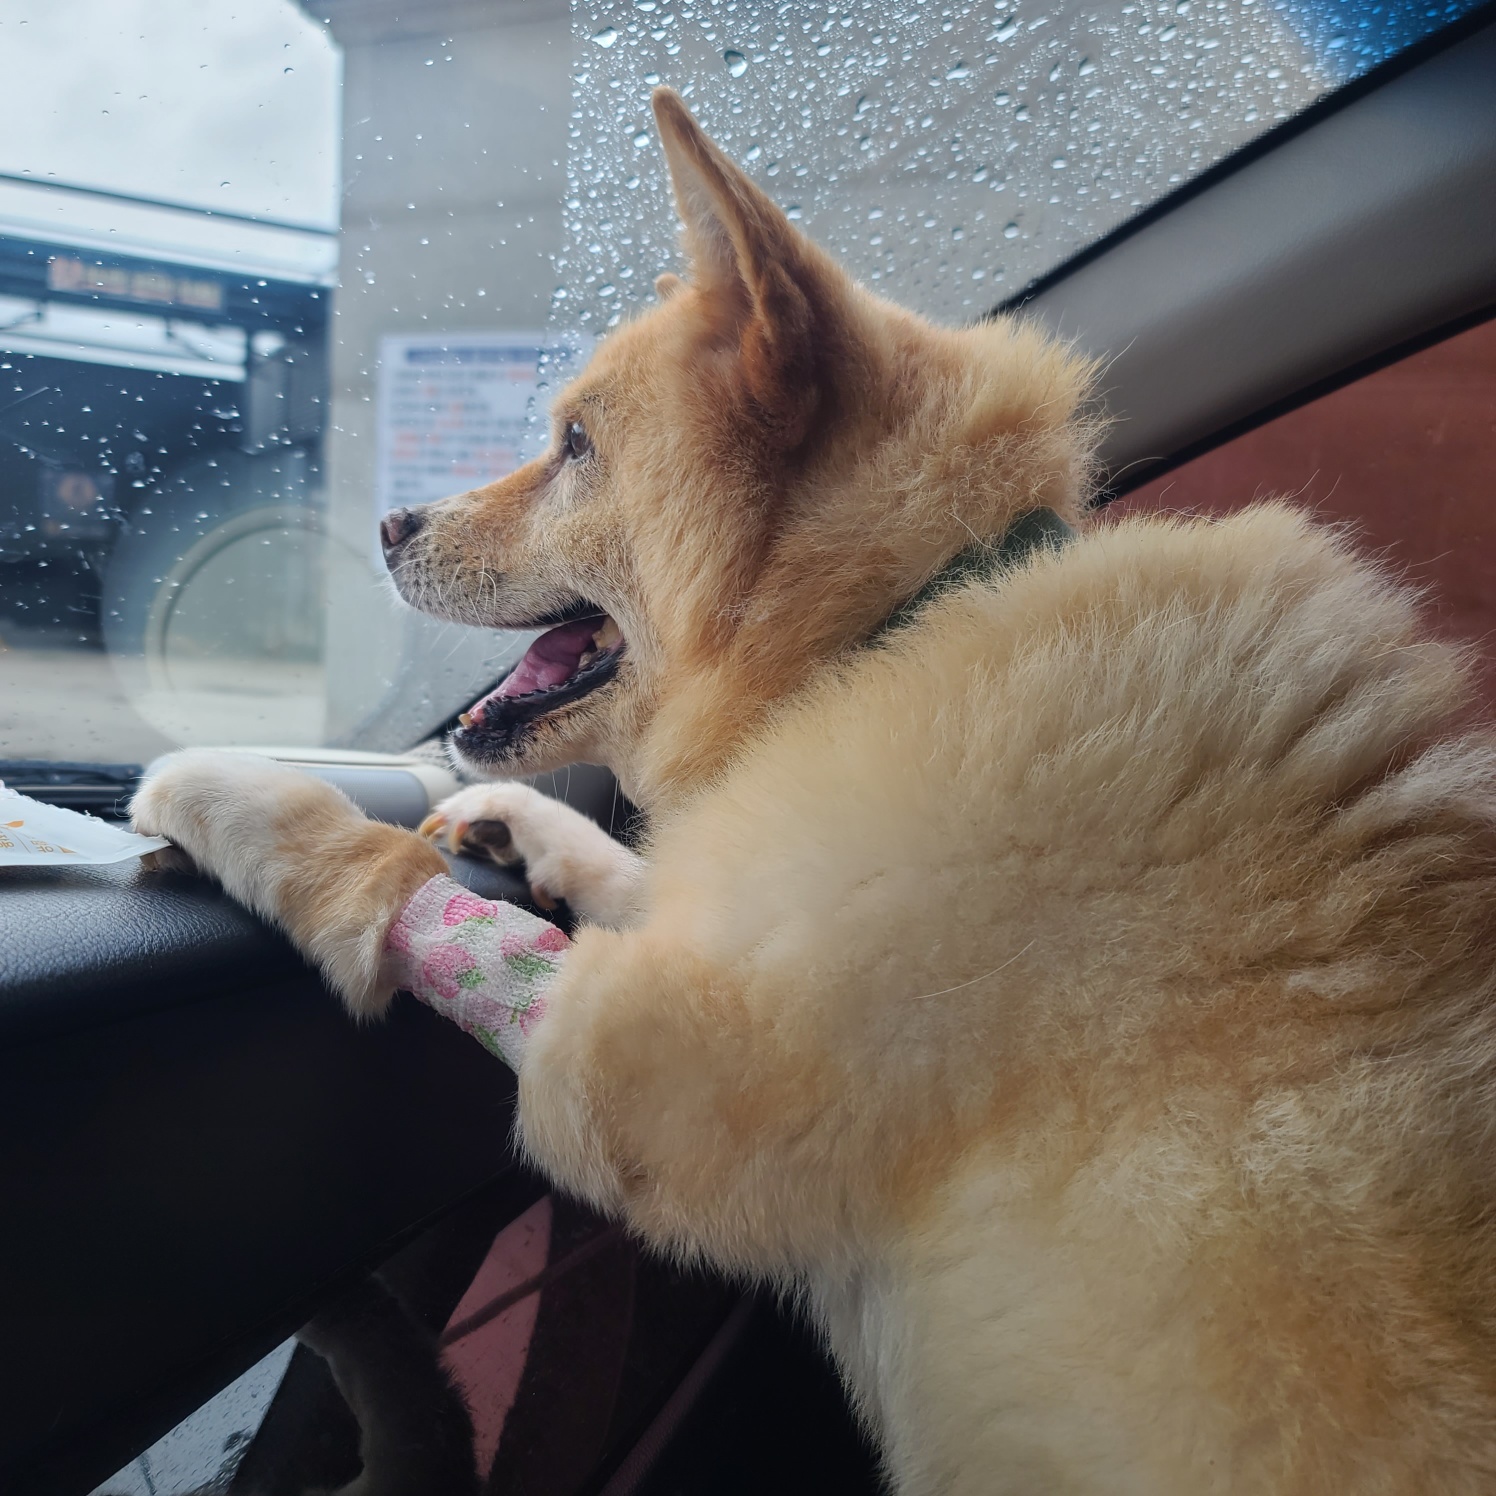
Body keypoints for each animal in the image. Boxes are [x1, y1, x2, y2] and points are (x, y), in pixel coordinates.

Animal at [134, 89, 1496, 1493]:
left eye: (575, 444)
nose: (390, 523)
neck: (891, 624)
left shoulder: (638, 1064)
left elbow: (404, 891)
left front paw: (228, 787)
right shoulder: (739, 915)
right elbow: (624, 873)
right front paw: (522, 830)